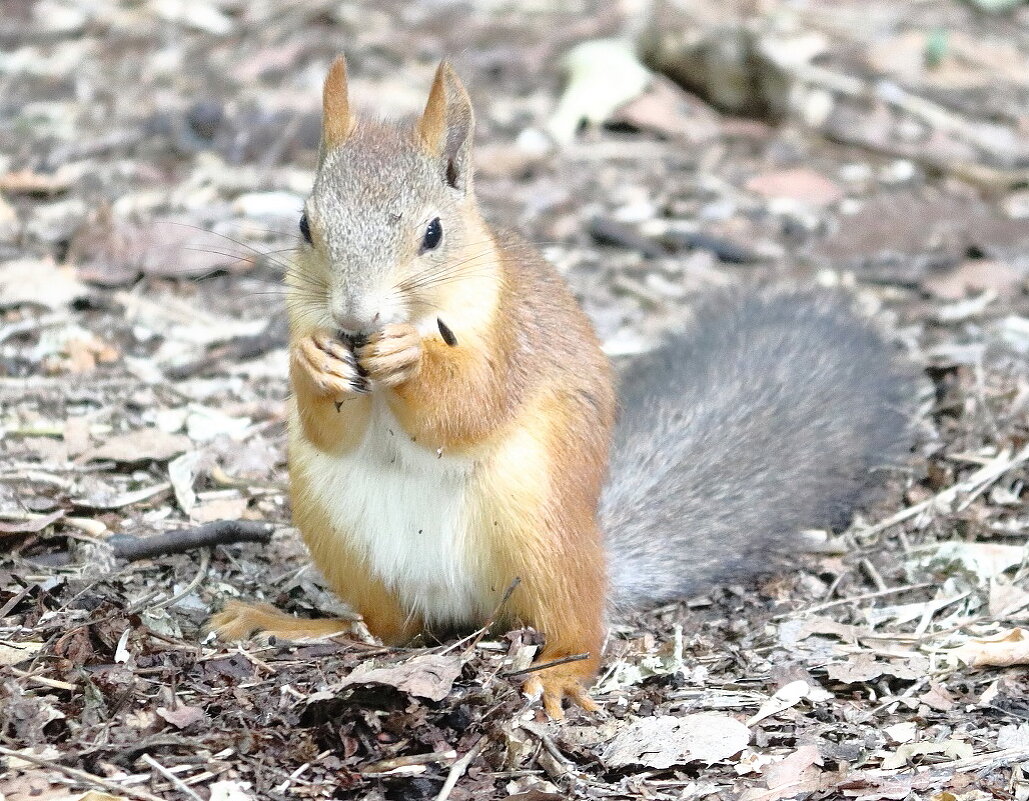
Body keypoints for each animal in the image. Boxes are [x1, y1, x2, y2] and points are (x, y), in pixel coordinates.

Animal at [208, 57, 917, 716]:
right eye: (306, 225)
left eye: (432, 233)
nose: (356, 319)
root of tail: (466, 610)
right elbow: (329, 424)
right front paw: (315, 362)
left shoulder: (510, 343)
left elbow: (467, 408)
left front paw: (410, 358)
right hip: (335, 524)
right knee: (388, 632)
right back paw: (292, 624)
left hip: (541, 520)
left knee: (577, 625)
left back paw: (558, 673)